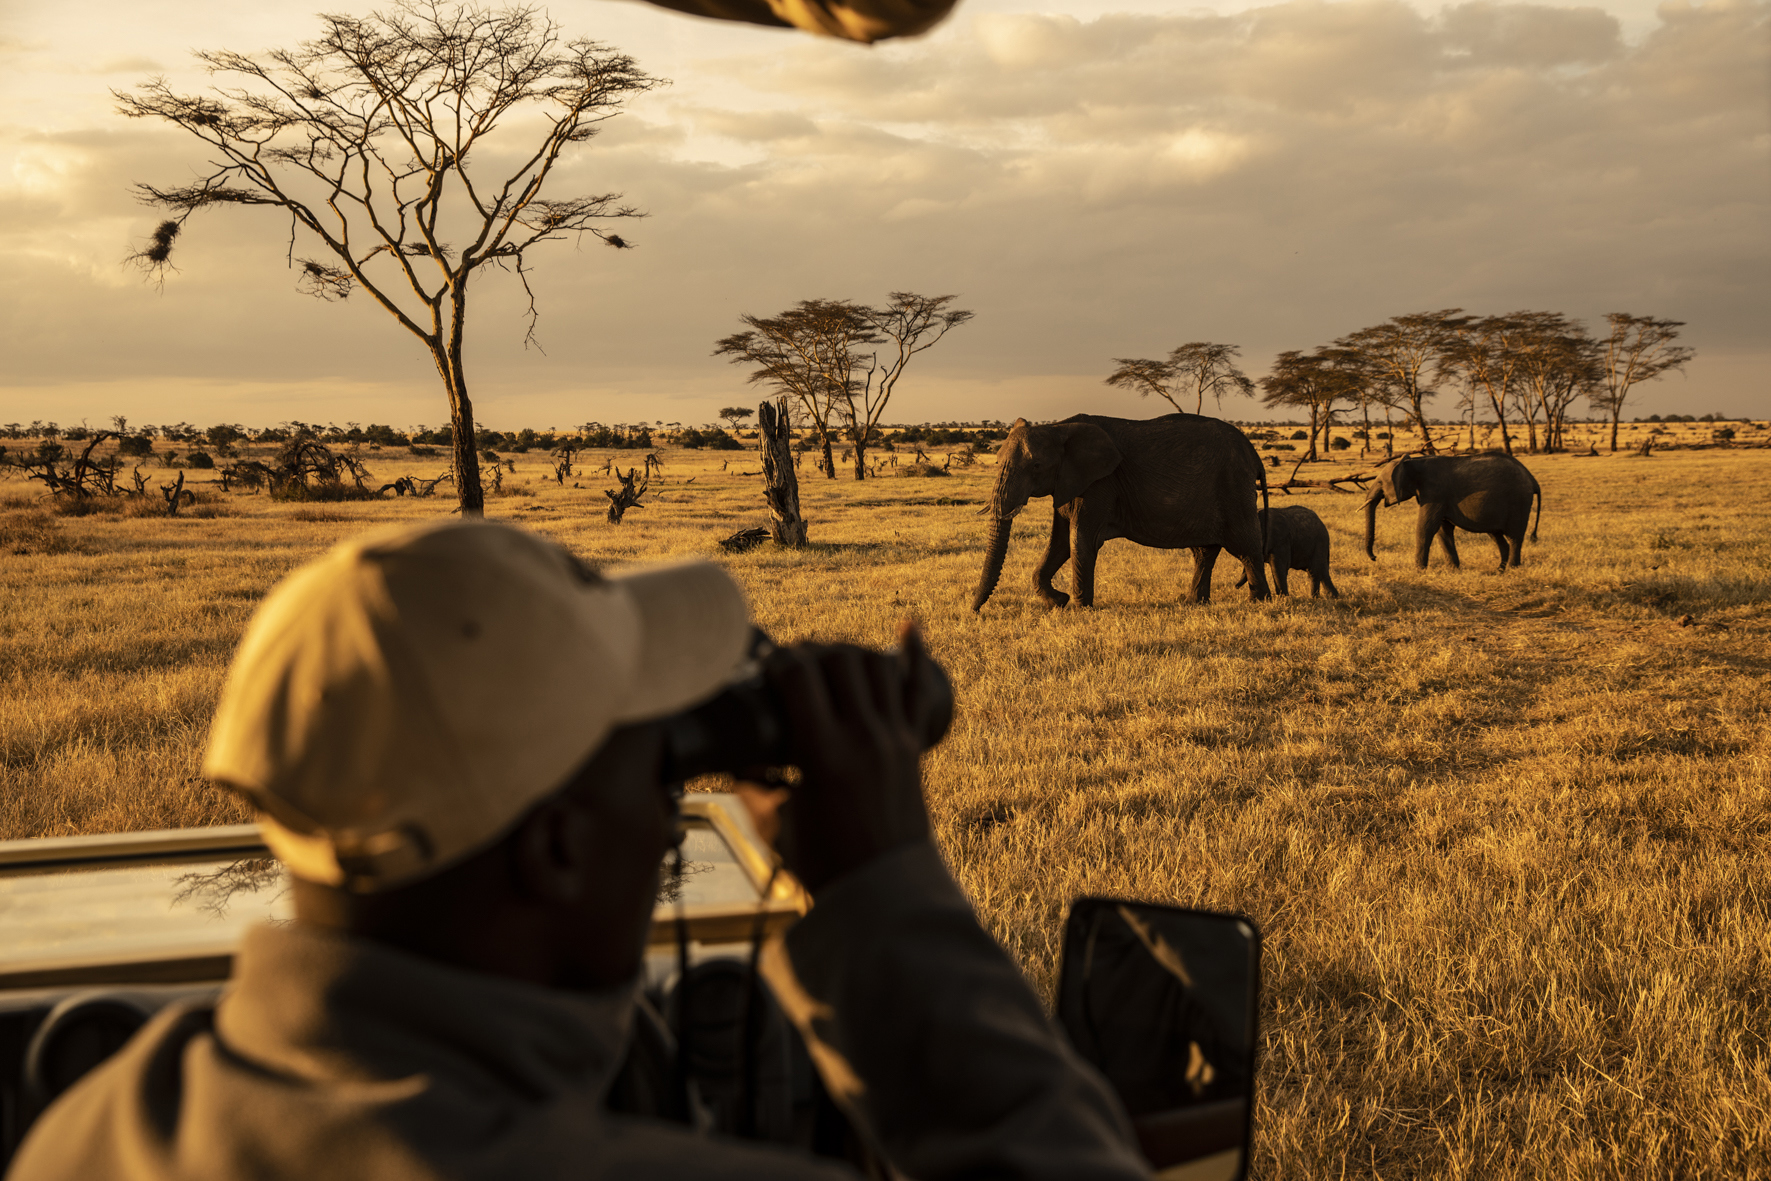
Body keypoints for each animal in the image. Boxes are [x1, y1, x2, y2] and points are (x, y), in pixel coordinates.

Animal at [972, 413, 1272, 610]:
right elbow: (1059, 543)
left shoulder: (1099, 482)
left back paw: (1259, 602)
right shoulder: (1071, 483)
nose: (974, 610)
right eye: (996, 462)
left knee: (1246, 546)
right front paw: (1058, 601)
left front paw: (1078, 608)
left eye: (1035, 466)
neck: (1057, 429)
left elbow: (1080, 540)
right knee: (1204, 551)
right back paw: (1193, 602)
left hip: (1234, 486)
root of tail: (1253, 454)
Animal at [1362, 451, 1542, 571]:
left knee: (1514, 536)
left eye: (1380, 482)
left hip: (1519, 501)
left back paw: (1512, 569)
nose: (1374, 558)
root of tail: (1532, 479)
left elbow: (1426, 527)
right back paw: (1500, 570)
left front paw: (1419, 571)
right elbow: (1443, 530)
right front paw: (1453, 570)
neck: (1413, 462)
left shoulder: (1435, 492)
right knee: (1496, 535)